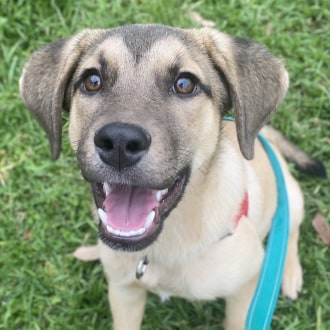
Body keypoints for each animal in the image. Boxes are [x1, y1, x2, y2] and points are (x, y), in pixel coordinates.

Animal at [19, 24, 326, 328]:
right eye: (92, 80)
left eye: (184, 84)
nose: (119, 142)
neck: (163, 247)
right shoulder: (124, 292)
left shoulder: (247, 288)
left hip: (291, 197)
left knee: (290, 230)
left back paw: (290, 274)